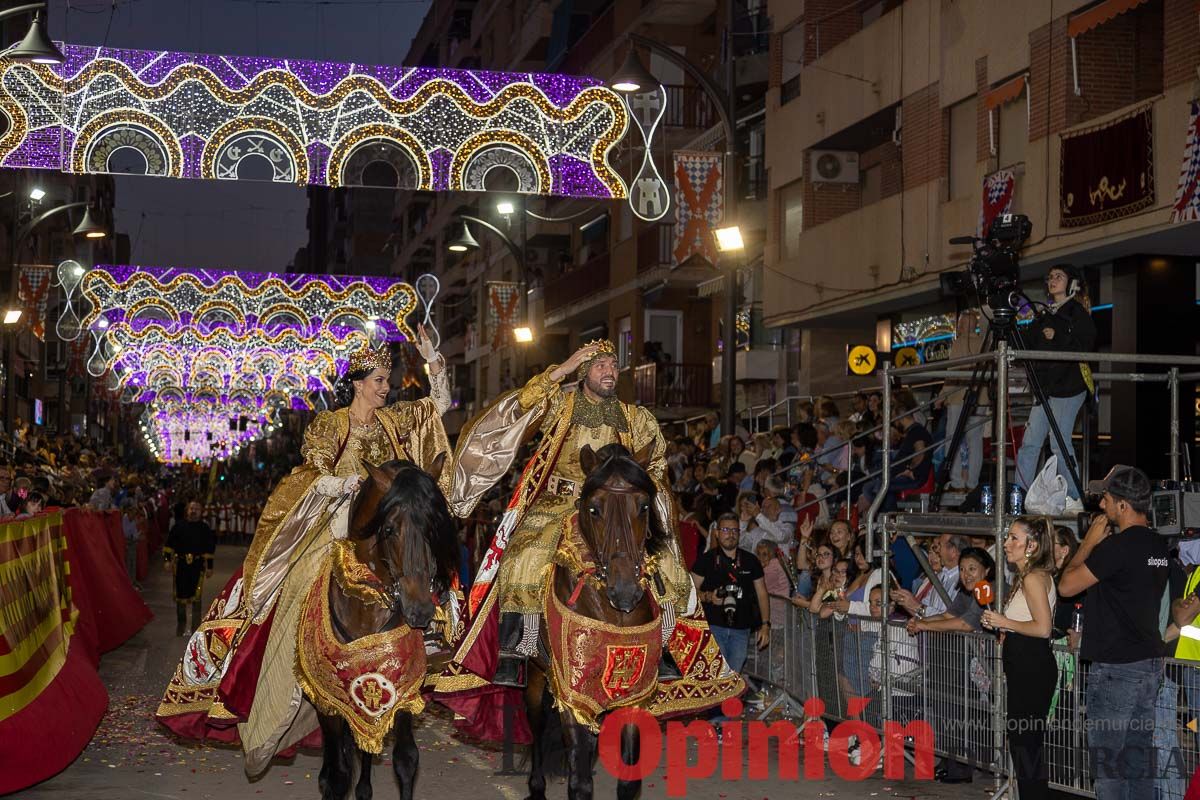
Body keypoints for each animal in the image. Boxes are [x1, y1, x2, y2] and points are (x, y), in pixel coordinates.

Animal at [309, 455, 458, 800]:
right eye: (389, 529)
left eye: (434, 528)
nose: (420, 609)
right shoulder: (328, 700)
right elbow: (336, 775)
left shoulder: (400, 693)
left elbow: (405, 761)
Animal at [528, 441, 676, 796]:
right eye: (594, 509)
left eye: (644, 507)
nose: (625, 592)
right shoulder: (571, 690)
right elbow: (580, 781)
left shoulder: (633, 691)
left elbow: (628, 779)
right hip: (536, 674)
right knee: (536, 724)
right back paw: (536, 784)